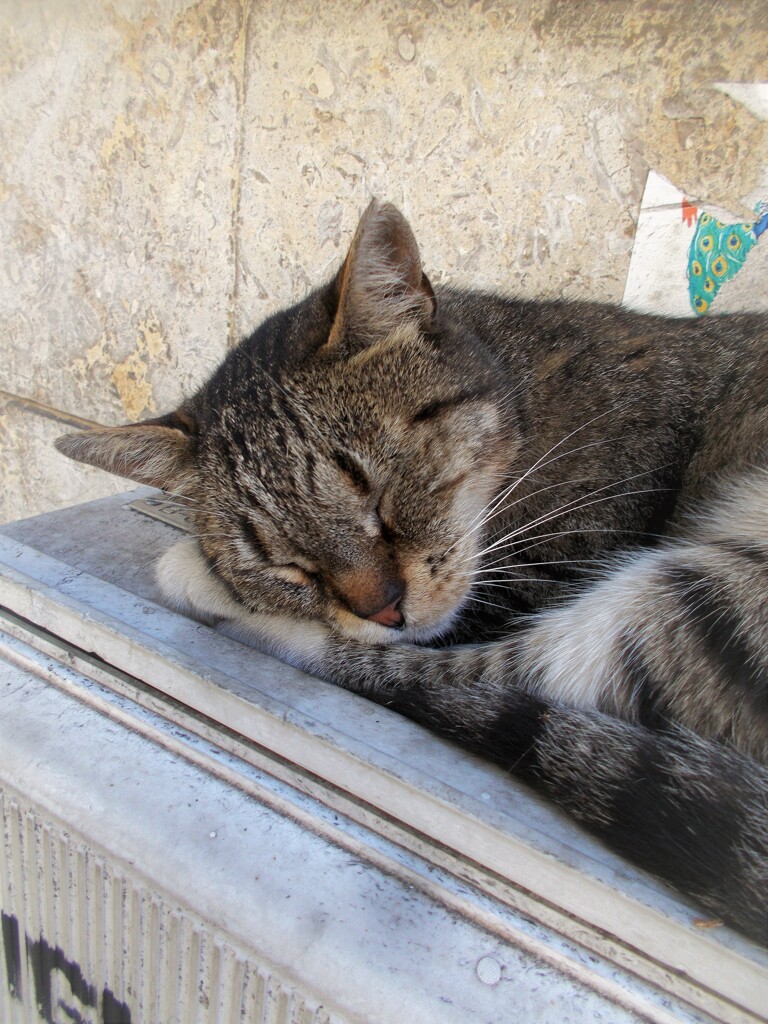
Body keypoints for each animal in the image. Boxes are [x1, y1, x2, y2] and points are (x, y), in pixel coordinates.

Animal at [55, 199, 768, 942]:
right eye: (290, 565)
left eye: (380, 498)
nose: (383, 610)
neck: (527, 385)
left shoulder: (549, 564)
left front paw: (203, 573)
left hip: (705, 596)